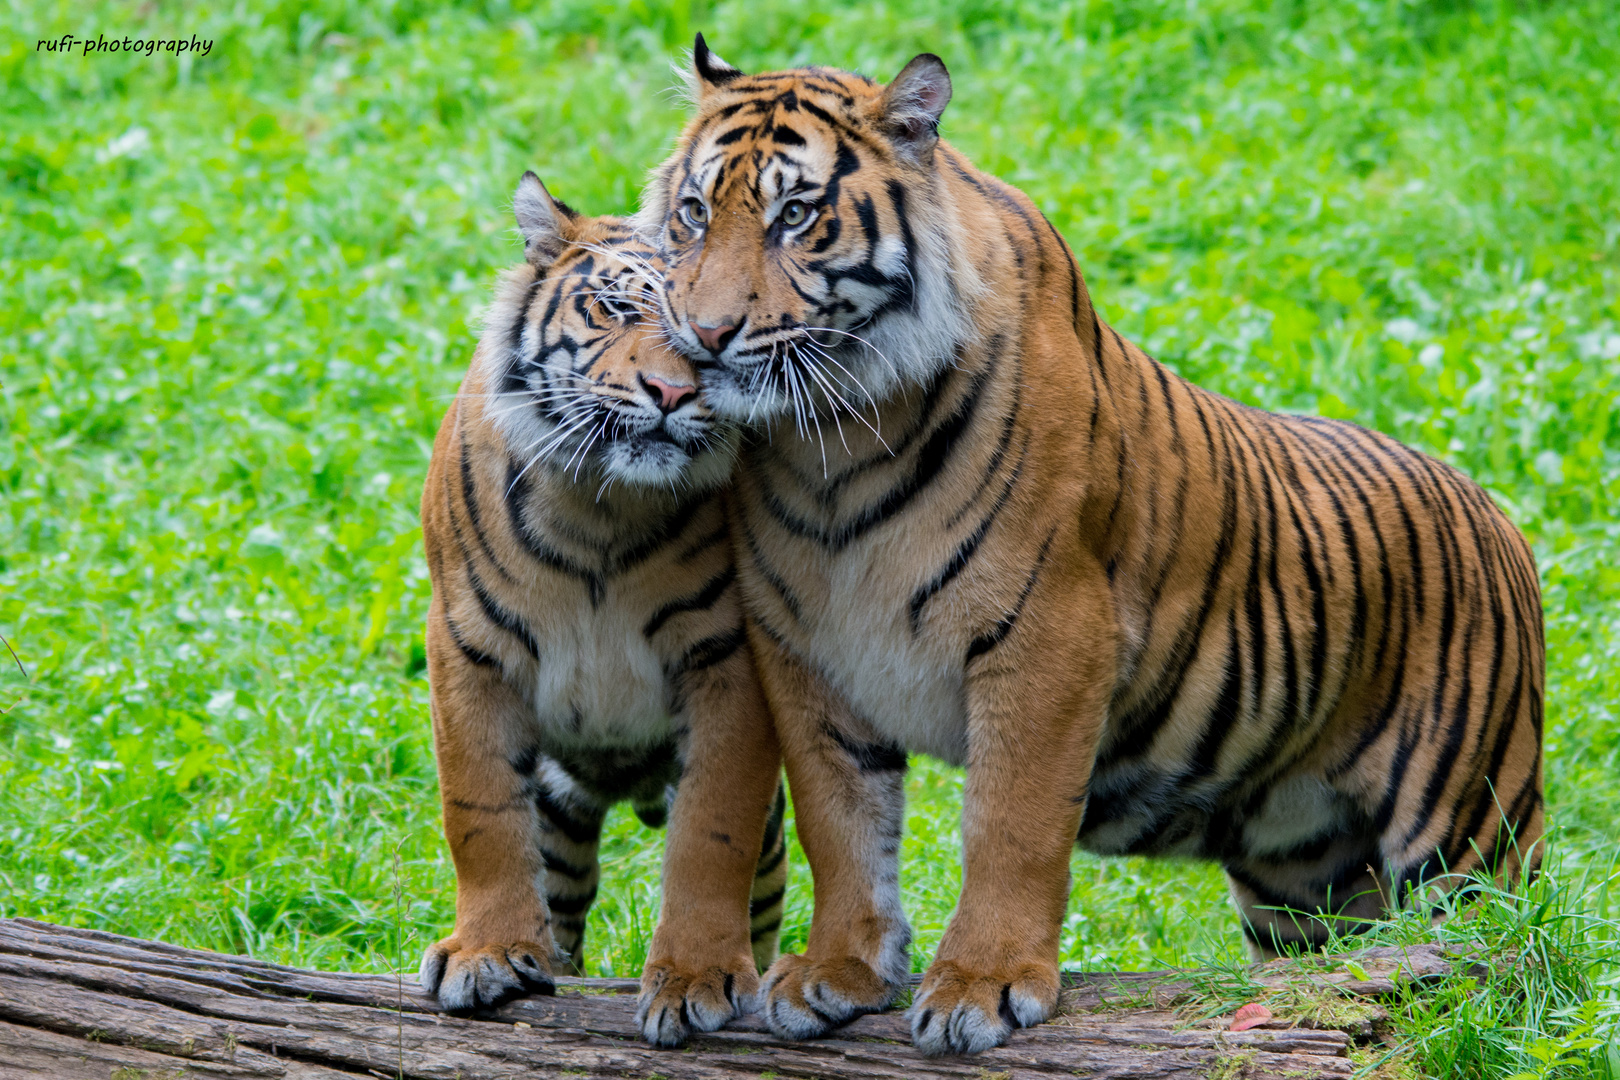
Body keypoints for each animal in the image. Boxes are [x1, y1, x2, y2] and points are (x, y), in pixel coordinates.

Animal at [417, 173, 790, 1049]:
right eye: (617, 309)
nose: (672, 392)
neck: (604, 507)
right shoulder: (467, 650)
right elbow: (479, 815)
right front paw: (485, 954)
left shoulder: (729, 664)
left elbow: (710, 834)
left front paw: (695, 977)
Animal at [631, 40, 1542, 1055]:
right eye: (694, 212)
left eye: (795, 215)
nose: (706, 336)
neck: (831, 445)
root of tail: (1497, 513)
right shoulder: (807, 653)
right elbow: (843, 825)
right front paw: (840, 970)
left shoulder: (1049, 636)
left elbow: (1010, 828)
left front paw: (981, 987)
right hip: (1304, 875)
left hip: (1471, 836)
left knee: (1509, 954)